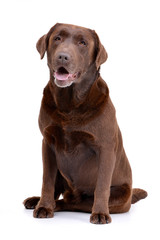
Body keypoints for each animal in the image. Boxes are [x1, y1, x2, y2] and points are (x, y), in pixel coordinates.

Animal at [23, 23, 148, 224]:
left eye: (82, 43)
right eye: (57, 38)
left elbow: (102, 185)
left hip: (119, 195)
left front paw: (100, 213)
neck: (70, 105)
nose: (63, 56)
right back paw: (37, 201)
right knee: (62, 194)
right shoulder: (47, 142)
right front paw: (44, 206)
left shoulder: (105, 148)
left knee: (74, 203)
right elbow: (47, 181)